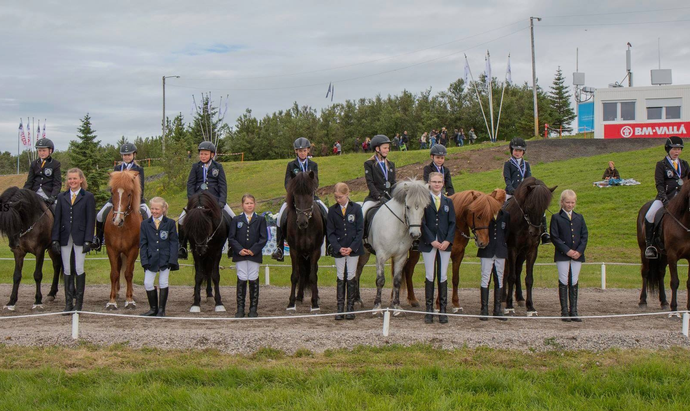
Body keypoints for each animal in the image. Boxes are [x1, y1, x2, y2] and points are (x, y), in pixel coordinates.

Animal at [103, 170, 141, 308]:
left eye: (129, 194)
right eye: (112, 192)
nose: (117, 221)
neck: (122, 228)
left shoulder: (133, 250)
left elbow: (128, 274)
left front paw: (129, 300)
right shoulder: (112, 250)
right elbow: (114, 274)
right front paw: (112, 301)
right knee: (118, 268)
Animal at [284, 171, 326, 312]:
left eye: (310, 194)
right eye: (295, 195)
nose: (302, 222)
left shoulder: (315, 251)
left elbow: (313, 276)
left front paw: (315, 303)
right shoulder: (294, 251)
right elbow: (294, 276)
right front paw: (291, 303)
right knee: (301, 272)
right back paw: (299, 296)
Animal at [354, 180, 430, 316]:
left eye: (424, 207)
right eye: (407, 207)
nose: (415, 234)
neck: (397, 225)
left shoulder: (401, 256)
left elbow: (397, 281)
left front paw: (396, 307)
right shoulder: (381, 256)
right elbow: (380, 280)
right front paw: (377, 307)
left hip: (365, 254)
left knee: (358, 271)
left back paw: (357, 299)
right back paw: (355, 300)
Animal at [500, 176, 552, 316]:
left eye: (544, 208)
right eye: (530, 206)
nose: (535, 232)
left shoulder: (531, 250)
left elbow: (529, 278)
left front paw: (531, 307)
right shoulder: (511, 249)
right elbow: (511, 276)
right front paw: (509, 306)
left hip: (521, 253)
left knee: (517, 270)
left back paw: (520, 298)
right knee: (506, 272)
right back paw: (503, 298)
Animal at [632, 178, 688, 312]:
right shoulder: (673, 255)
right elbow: (675, 281)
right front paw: (674, 308)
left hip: (664, 255)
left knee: (661, 273)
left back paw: (664, 302)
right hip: (644, 250)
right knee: (645, 272)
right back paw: (643, 301)